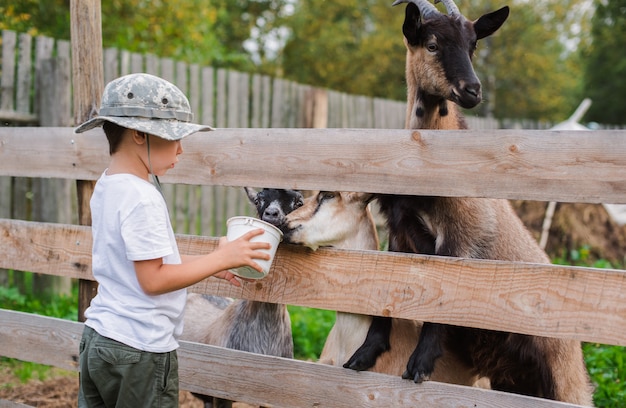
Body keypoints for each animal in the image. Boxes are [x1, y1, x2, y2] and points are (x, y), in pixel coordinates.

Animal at [344, 0, 592, 402]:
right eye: (431, 44)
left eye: (473, 45)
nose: (473, 90)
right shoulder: (400, 232)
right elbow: (390, 289)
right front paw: (364, 355)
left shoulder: (461, 237)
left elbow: (444, 299)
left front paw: (420, 366)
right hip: (517, 380)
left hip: (565, 378)